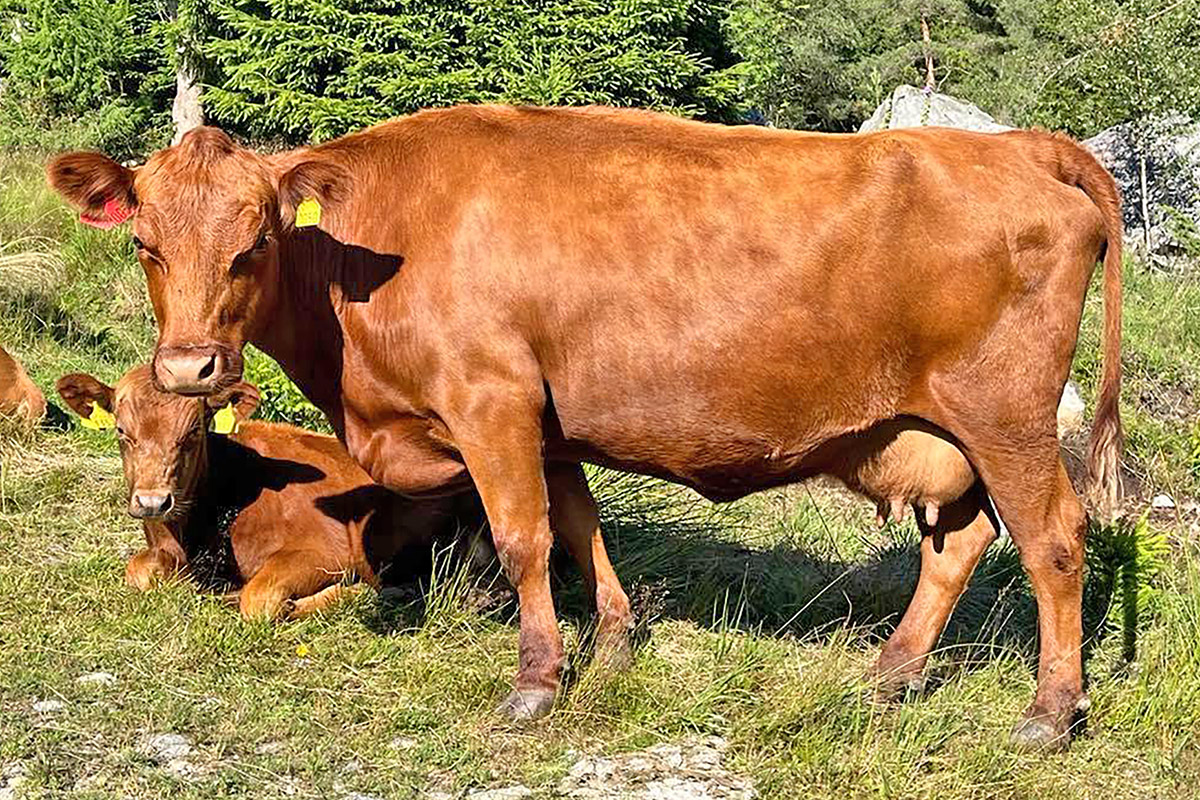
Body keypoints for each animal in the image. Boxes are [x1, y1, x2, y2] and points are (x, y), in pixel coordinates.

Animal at [56, 367, 487, 623]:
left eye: (193, 431)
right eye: (121, 430)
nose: (153, 502)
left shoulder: (327, 551)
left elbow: (259, 600)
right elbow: (137, 571)